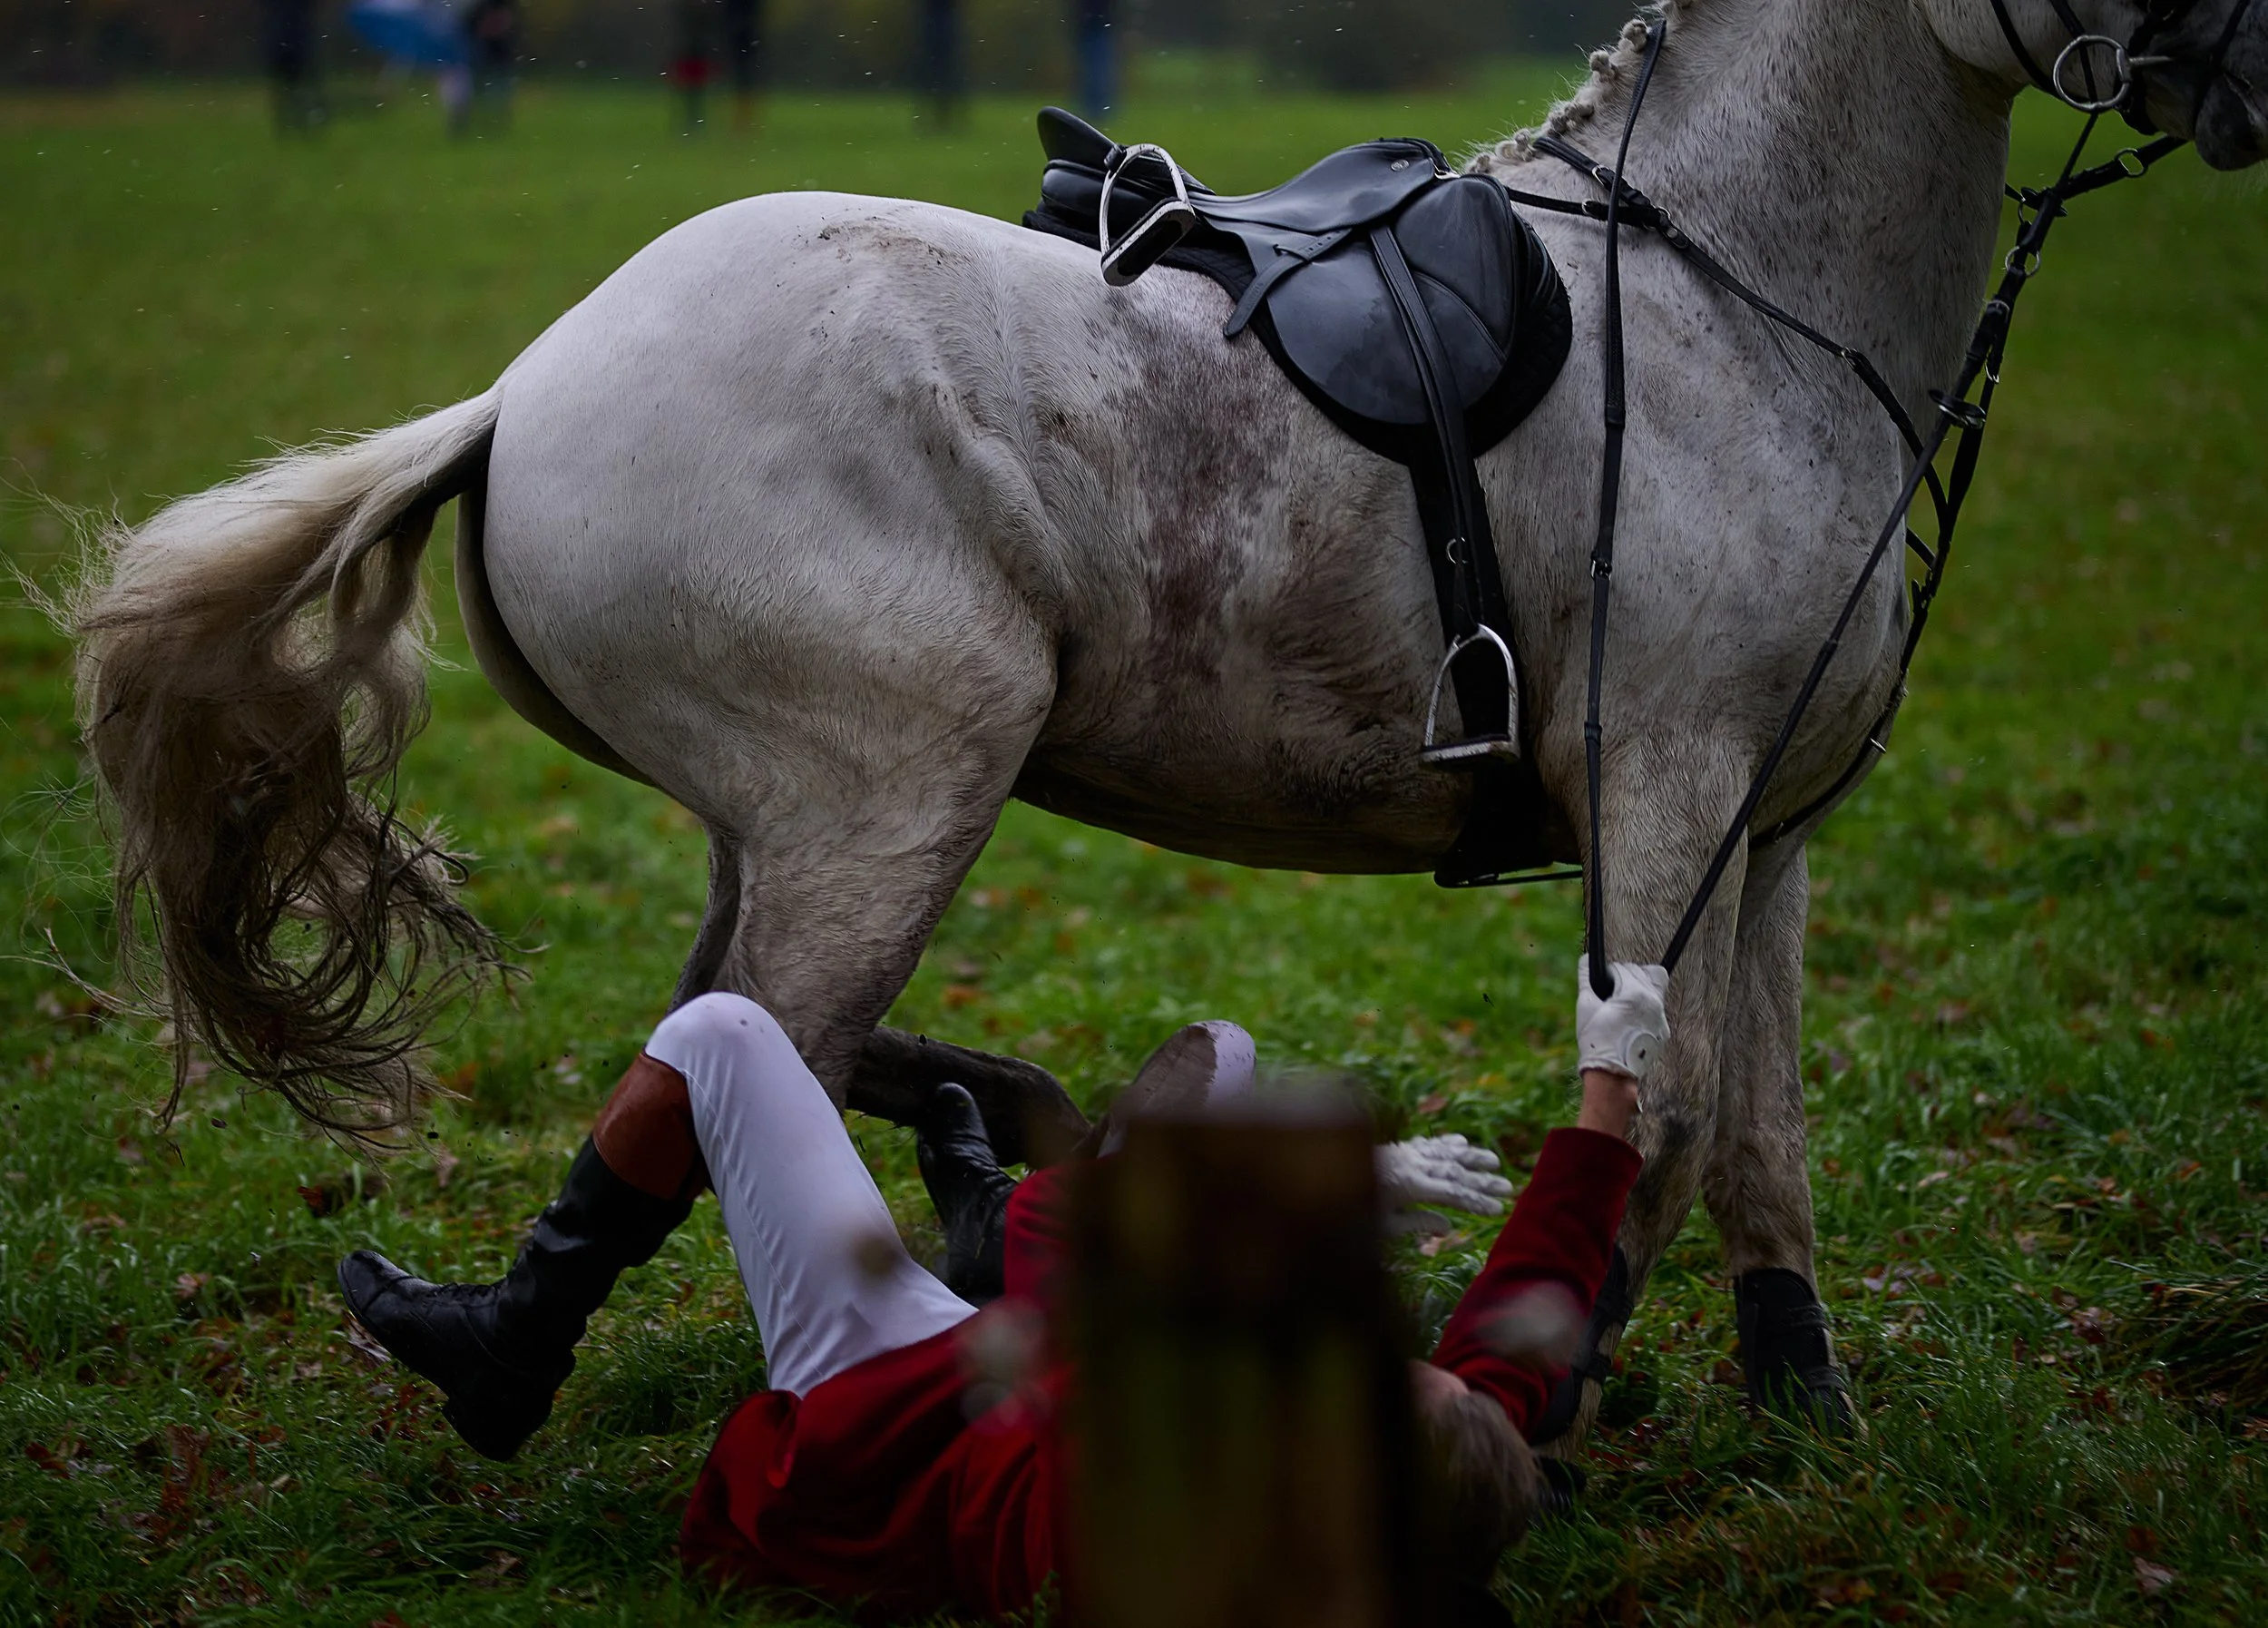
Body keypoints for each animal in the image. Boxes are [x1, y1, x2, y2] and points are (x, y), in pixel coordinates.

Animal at [73, 0, 2268, 1444]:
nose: (2241, 81)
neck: (1745, 303)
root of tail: (525, 387)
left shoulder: (1769, 824)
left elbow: (1757, 1133)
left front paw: (1795, 1398)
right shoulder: (1667, 793)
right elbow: (1662, 1108)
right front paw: (1546, 1379)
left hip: (801, 810)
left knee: (736, 1023)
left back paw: (986, 1159)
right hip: (906, 779)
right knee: (759, 1035)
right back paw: (535, 1339)